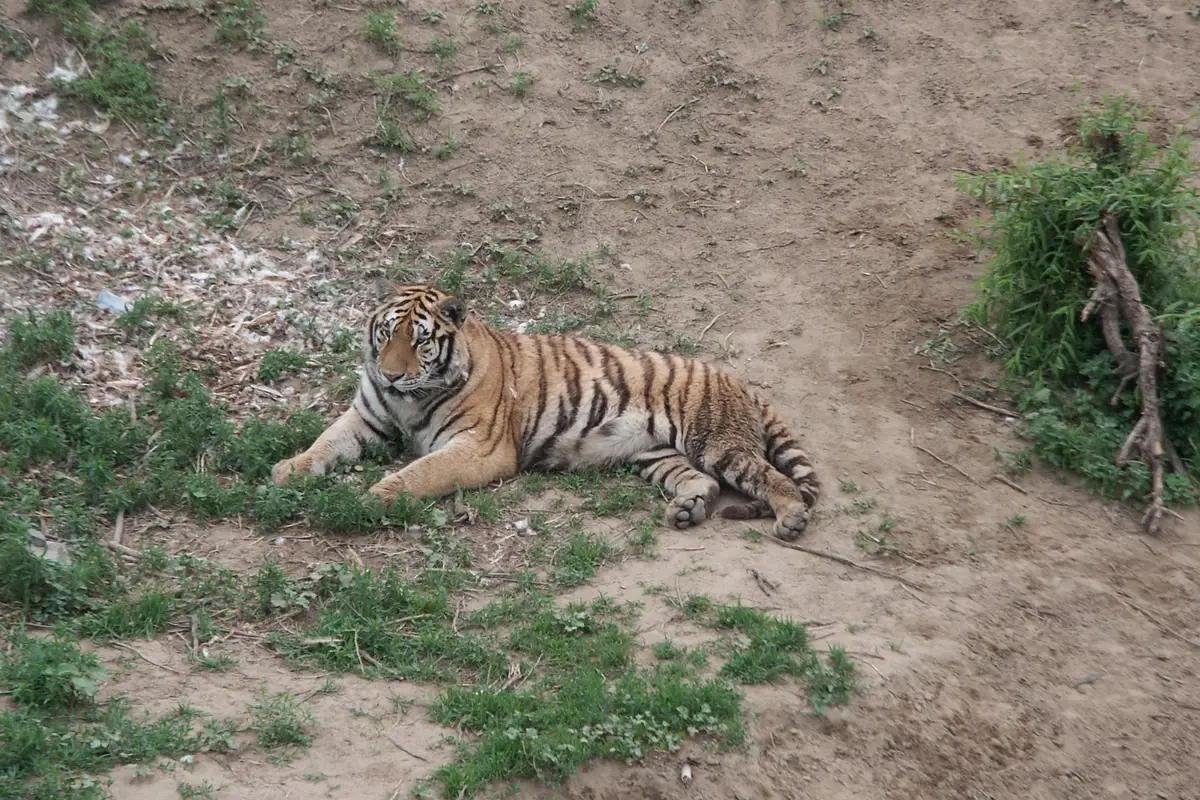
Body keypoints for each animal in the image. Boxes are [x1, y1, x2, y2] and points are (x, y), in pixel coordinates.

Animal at [271, 284, 821, 540]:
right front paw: (286, 471)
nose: (389, 375)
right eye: (386, 334)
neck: (409, 400)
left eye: (421, 341)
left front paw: (375, 496)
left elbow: (419, 472)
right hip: (656, 454)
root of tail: (738, 381)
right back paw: (687, 510)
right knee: (701, 481)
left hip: (717, 442)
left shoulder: (480, 448)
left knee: (773, 478)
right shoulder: (367, 416)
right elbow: (325, 441)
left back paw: (791, 520)